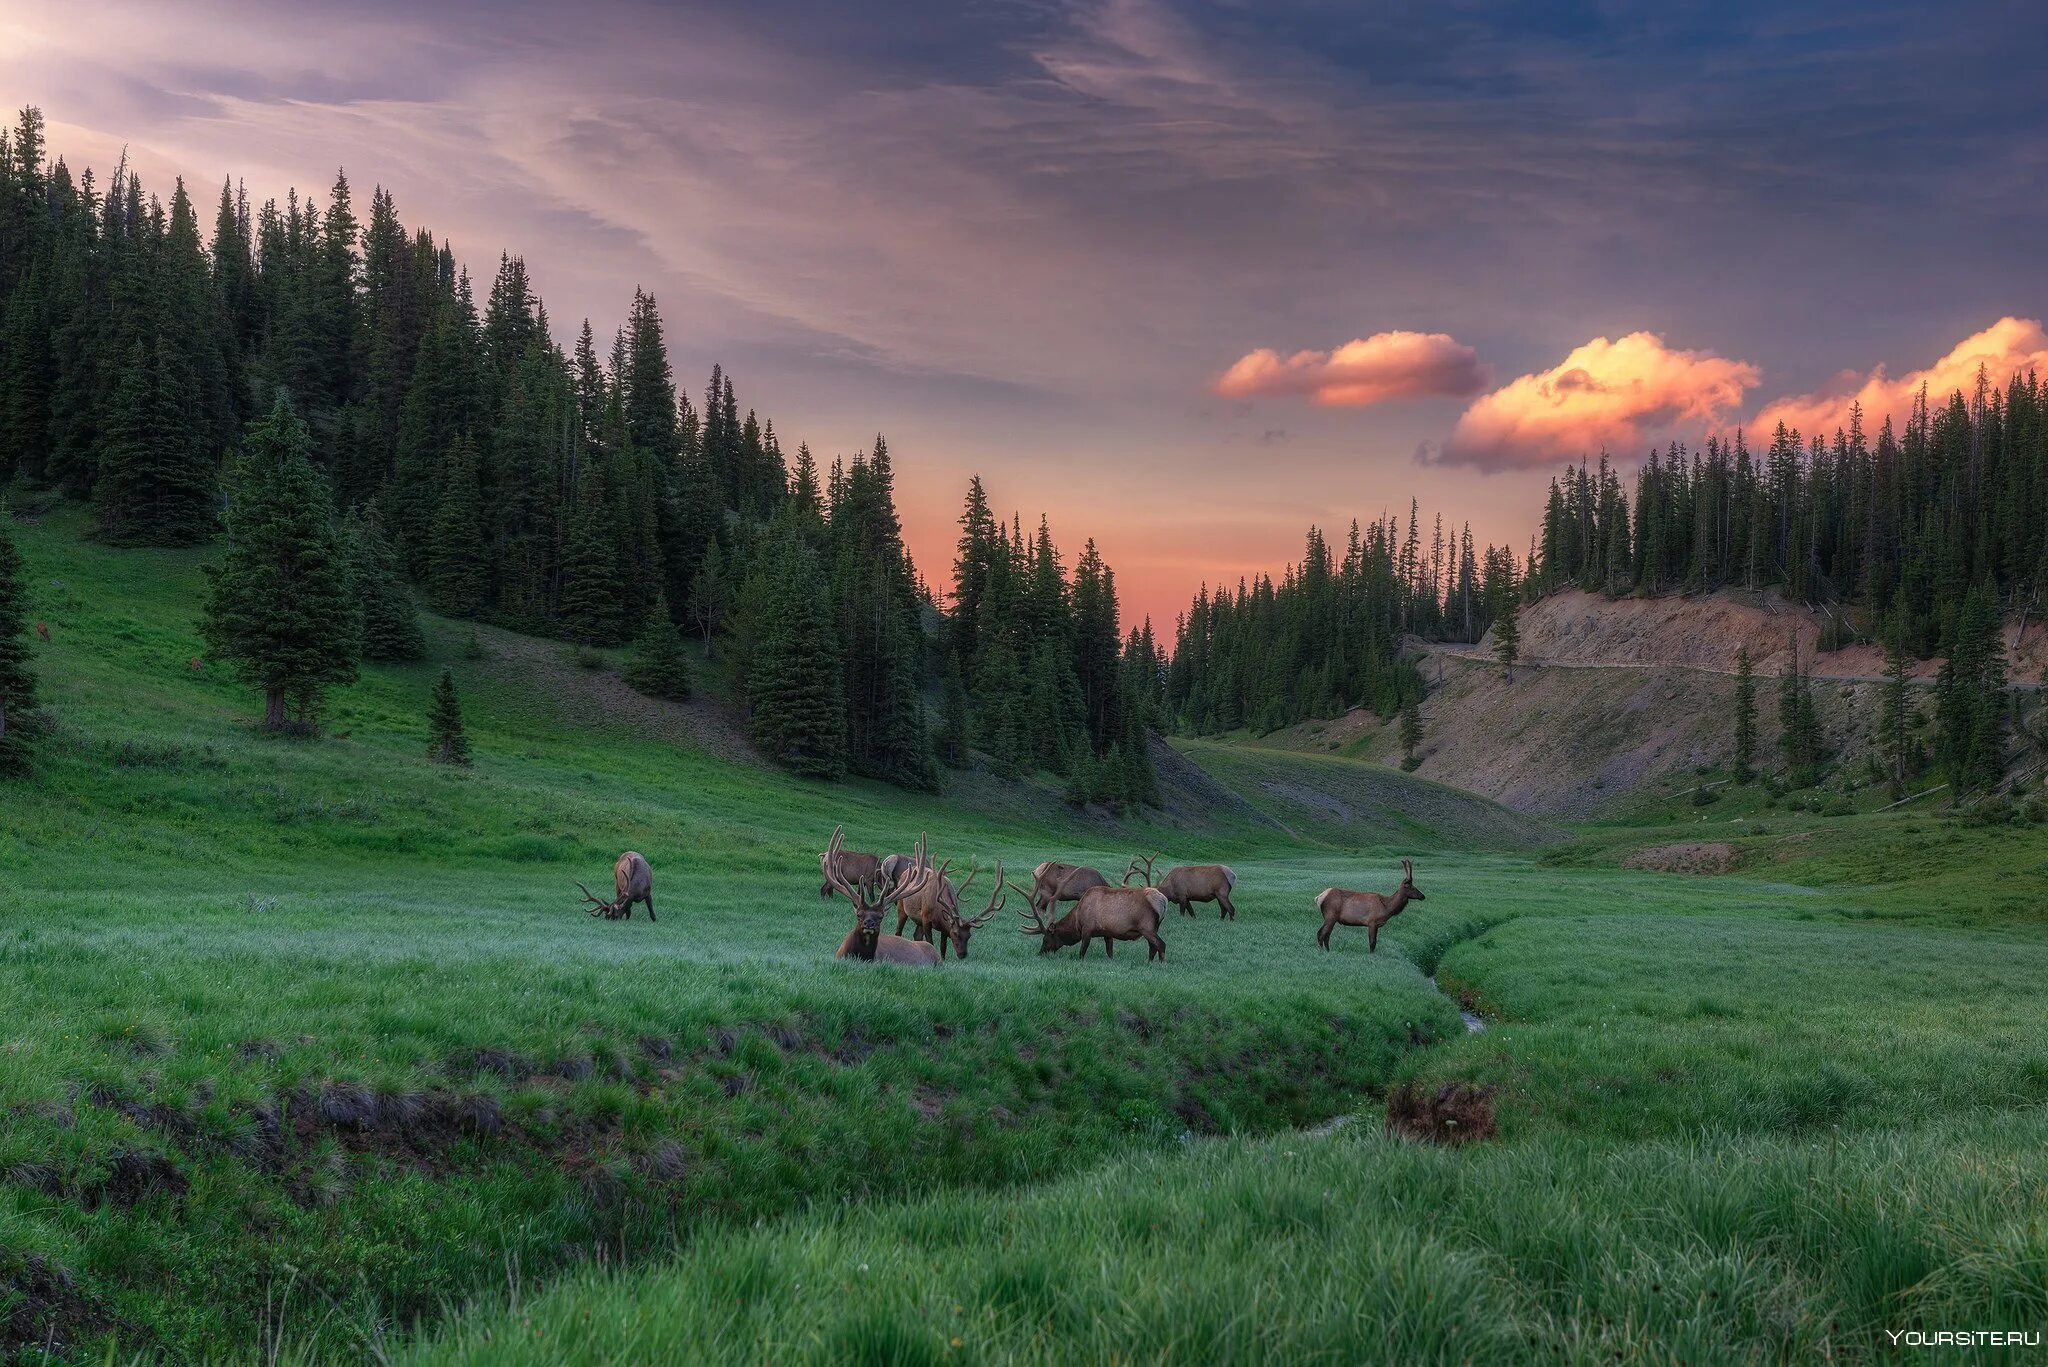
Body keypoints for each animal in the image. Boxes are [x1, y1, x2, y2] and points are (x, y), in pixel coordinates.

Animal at [1011, 877, 1171, 963]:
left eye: (1045, 939)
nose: (1040, 953)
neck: (1077, 919)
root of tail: (1163, 901)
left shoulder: (1087, 928)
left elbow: (1082, 951)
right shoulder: (1108, 933)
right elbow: (1110, 952)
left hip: (1146, 926)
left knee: (1160, 944)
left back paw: (1160, 964)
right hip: (1154, 927)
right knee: (1152, 947)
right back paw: (1149, 962)